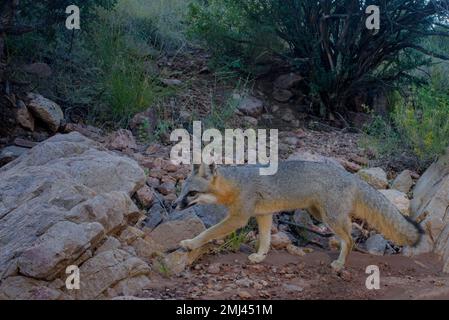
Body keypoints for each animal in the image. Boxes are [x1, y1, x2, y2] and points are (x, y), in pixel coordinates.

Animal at [172, 162, 424, 270]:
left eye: (192, 193)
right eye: (183, 191)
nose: (174, 204)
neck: (236, 183)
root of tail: (350, 175)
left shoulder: (239, 218)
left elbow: (208, 232)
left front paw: (190, 243)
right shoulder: (264, 215)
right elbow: (265, 239)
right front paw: (260, 256)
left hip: (330, 217)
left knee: (350, 239)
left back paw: (340, 263)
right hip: (319, 213)